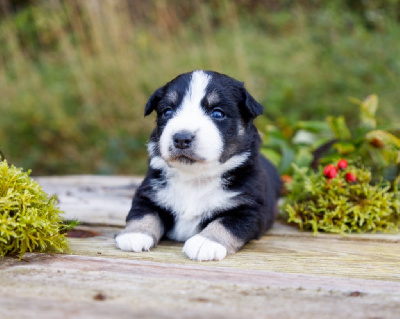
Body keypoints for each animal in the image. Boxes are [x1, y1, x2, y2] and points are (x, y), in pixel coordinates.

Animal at [115, 70, 282, 262]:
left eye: (217, 113)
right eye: (167, 111)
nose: (181, 138)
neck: (194, 178)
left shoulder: (249, 208)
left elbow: (225, 223)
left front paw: (206, 242)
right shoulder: (149, 192)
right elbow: (143, 212)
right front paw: (135, 234)